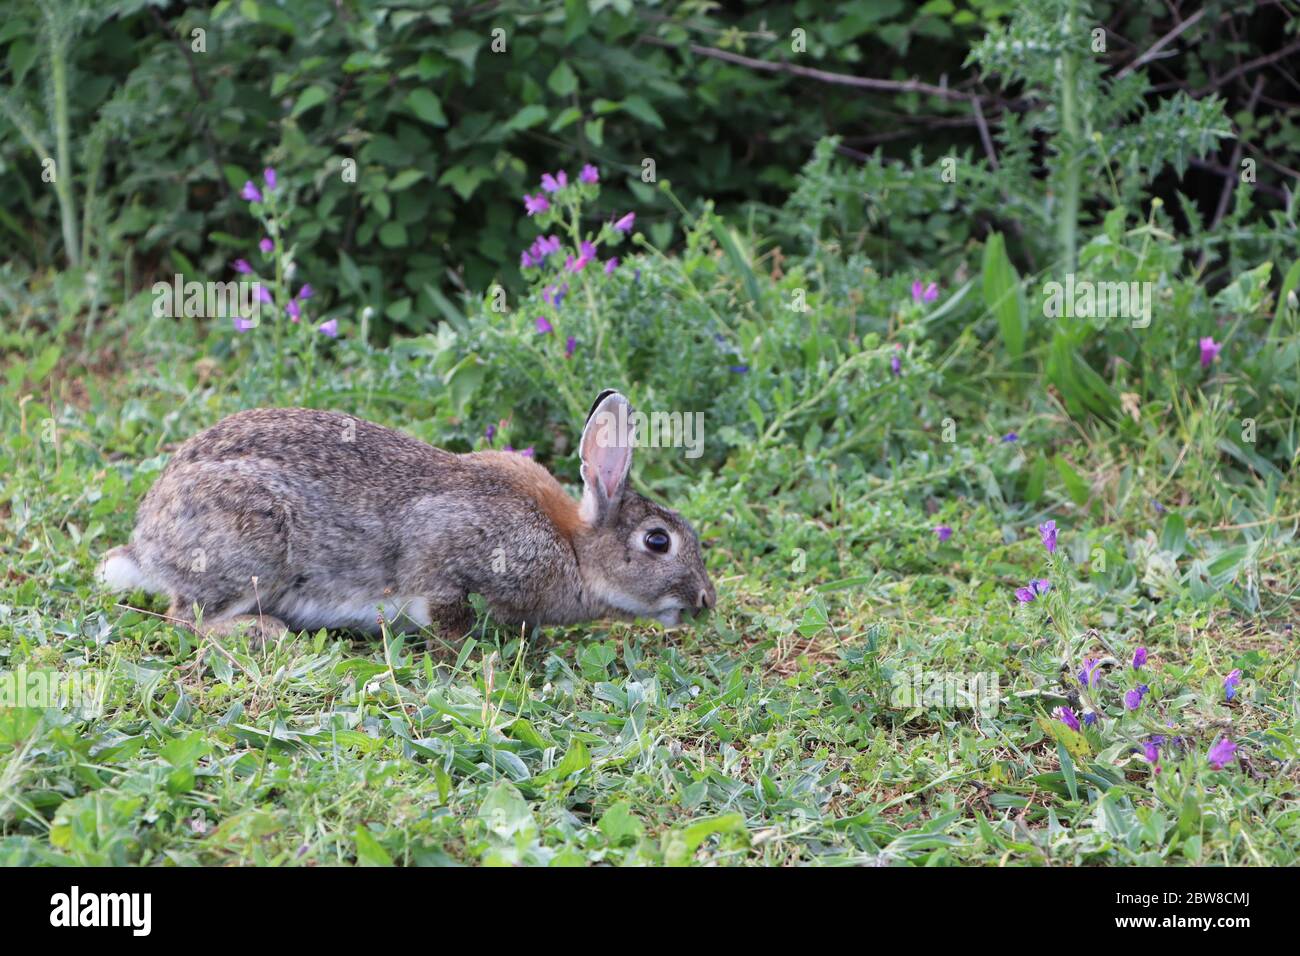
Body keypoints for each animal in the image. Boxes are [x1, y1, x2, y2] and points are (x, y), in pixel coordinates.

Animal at [96, 390, 717, 642]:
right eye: (658, 542)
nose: (706, 600)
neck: (572, 548)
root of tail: (146, 543)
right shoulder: (450, 558)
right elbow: (445, 610)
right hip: (250, 548)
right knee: (185, 617)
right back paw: (264, 631)